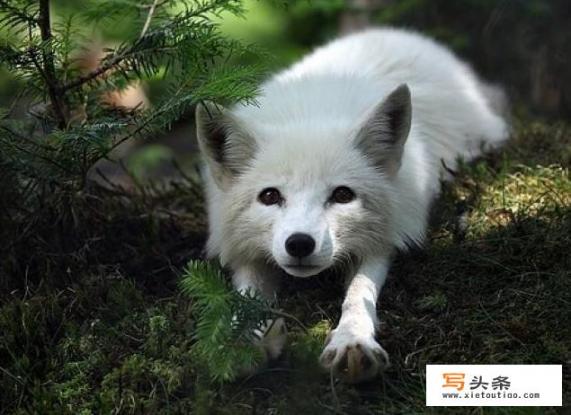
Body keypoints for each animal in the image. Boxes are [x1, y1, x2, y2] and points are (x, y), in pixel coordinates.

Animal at [194, 28, 508, 384]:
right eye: (270, 196)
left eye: (342, 195)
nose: (299, 244)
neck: (311, 114)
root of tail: (397, 34)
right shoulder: (244, 249)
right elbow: (245, 296)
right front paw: (238, 342)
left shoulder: (384, 239)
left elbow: (359, 293)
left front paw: (352, 341)